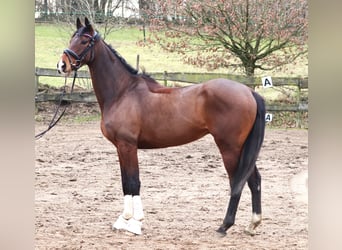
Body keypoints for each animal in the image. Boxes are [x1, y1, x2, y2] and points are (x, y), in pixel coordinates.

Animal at [56, 17, 264, 236]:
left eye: (84, 41)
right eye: (72, 38)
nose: (62, 65)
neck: (123, 92)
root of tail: (249, 92)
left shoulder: (127, 145)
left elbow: (133, 182)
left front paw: (134, 222)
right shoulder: (121, 147)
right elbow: (125, 182)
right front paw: (124, 220)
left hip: (230, 148)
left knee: (237, 181)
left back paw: (225, 226)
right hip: (242, 149)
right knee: (254, 180)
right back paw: (252, 224)